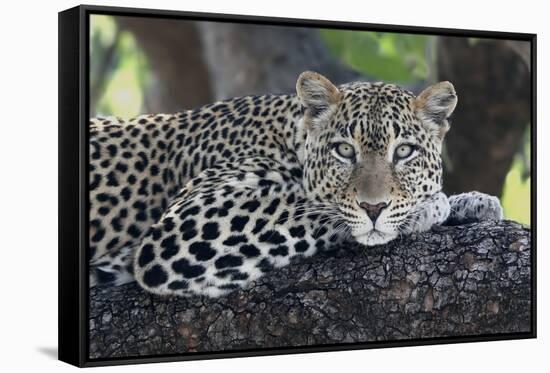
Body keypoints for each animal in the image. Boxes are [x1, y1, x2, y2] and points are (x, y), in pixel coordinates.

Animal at [89, 70, 504, 296]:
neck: (288, 136)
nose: (374, 207)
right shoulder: (187, 223)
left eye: (403, 152)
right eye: (343, 150)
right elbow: (311, 207)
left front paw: (472, 202)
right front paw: (429, 207)